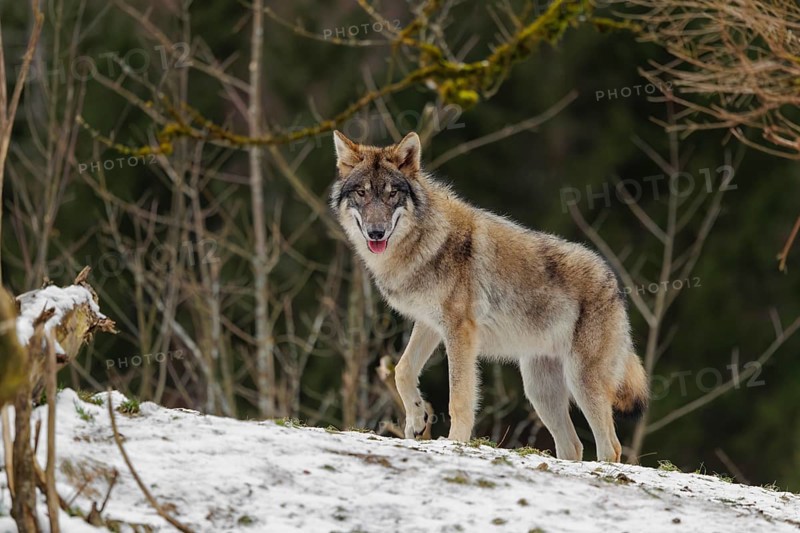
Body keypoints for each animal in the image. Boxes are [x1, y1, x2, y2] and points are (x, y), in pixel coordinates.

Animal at [330, 130, 648, 462]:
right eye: (362, 193)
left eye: (392, 194)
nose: (376, 233)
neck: (424, 242)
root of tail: (615, 284)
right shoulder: (430, 324)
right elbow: (402, 371)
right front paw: (417, 421)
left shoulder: (460, 332)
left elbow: (459, 398)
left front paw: (454, 443)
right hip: (539, 391)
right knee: (573, 445)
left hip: (582, 381)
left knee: (611, 446)